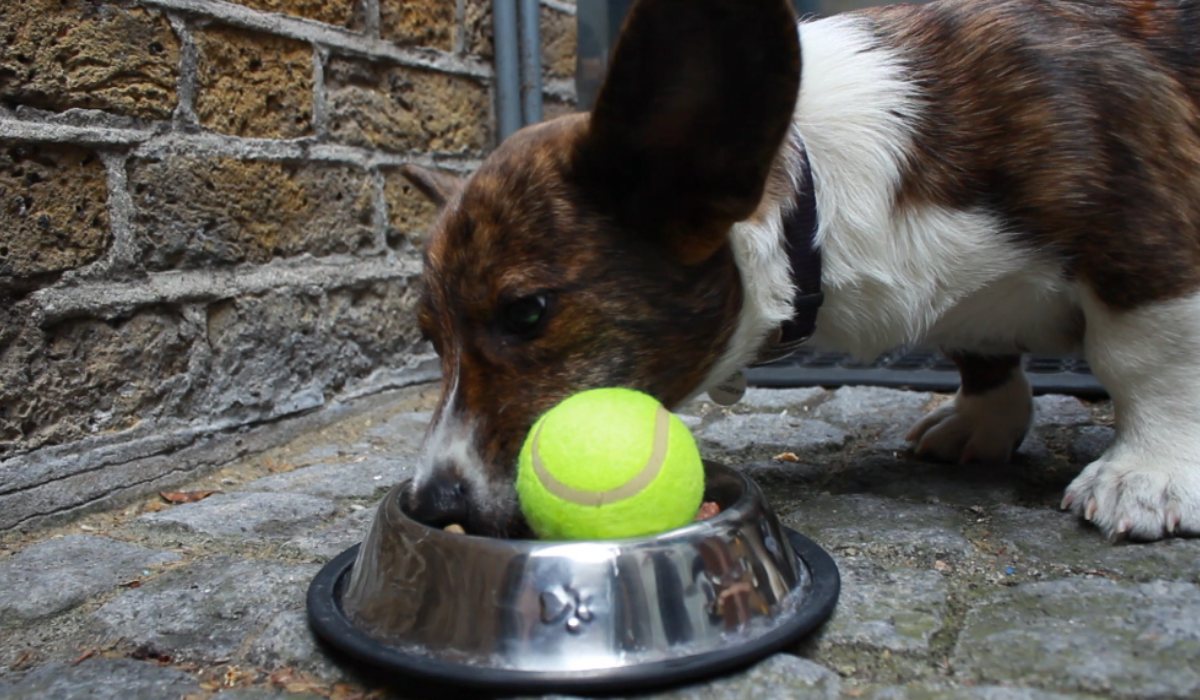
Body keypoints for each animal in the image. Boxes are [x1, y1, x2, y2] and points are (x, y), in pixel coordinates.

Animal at [400, 0, 1200, 542]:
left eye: (527, 312)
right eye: (430, 337)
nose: (430, 507)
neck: (815, 207)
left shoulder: (1146, 239)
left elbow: (1147, 360)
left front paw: (1148, 474)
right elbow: (981, 349)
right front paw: (982, 422)